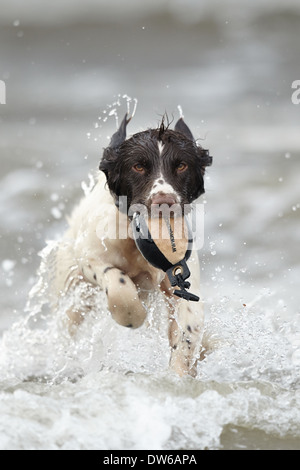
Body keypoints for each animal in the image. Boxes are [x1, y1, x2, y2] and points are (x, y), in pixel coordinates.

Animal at [54, 113, 213, 374]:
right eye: (138, 166)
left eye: (181, 165)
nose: (164, 201)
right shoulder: (90, 257)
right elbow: (118, 283)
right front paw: (132, 316)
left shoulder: (182, 282)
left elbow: (188, 327)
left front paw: (178, 376)